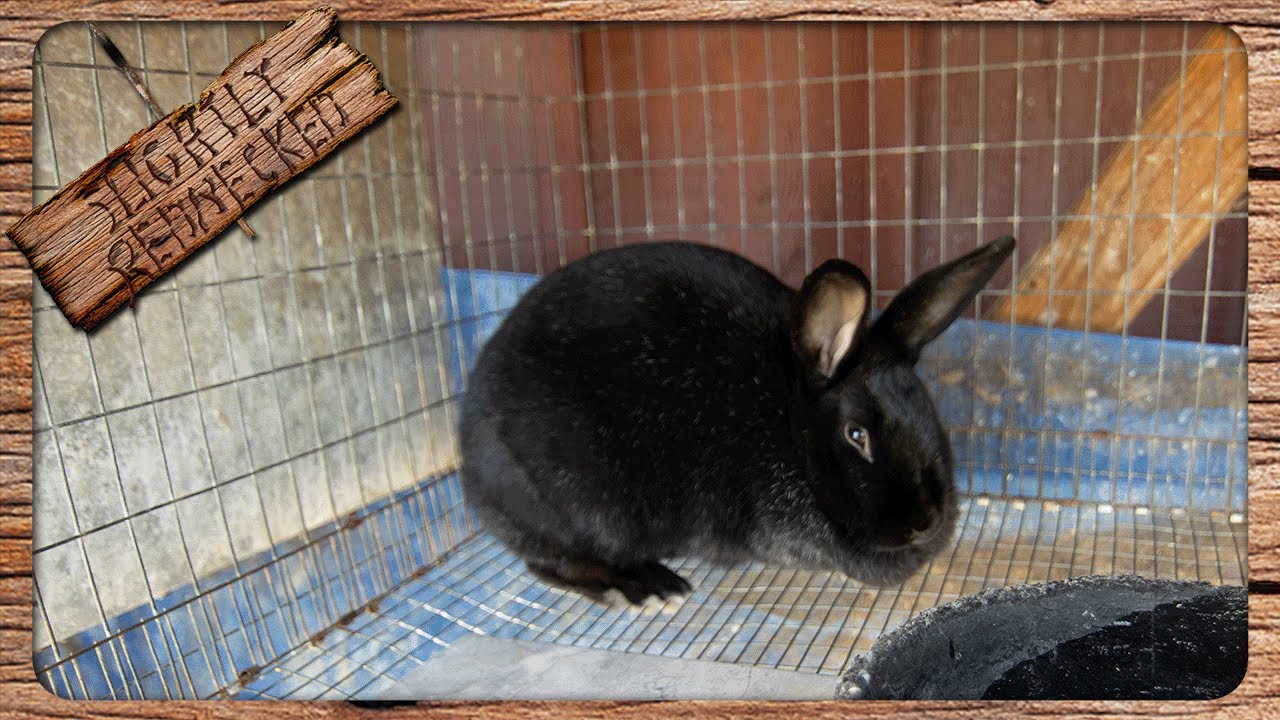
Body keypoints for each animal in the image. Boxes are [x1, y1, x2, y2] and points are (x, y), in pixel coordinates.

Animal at [458, 236, 1015, 606]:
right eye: (856, 435)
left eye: (927, 410)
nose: (927, 521)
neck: (788, 418)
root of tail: (470, 467)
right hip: (578, 502)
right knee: (555, 559)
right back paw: (648, 587)